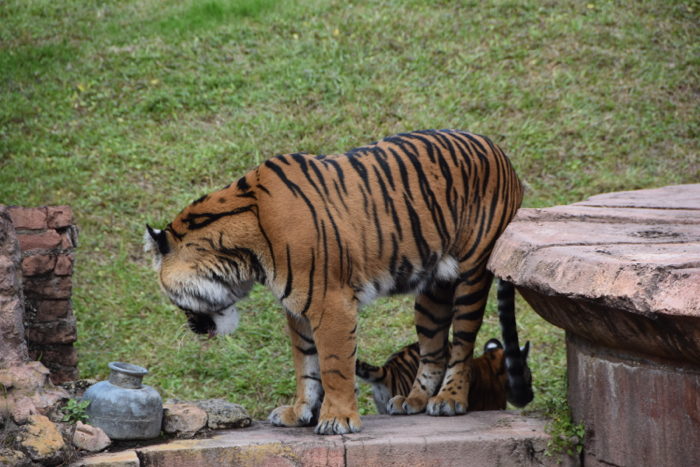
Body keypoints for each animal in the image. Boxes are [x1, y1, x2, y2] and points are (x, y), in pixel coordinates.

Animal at [145, 128, 524, 436]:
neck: (246, 254)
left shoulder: (332, 305)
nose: (193, 328)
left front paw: (337, 419)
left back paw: (448, 400)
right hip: (433, 292)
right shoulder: (297, 309)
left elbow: (333, 366)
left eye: (170, 296)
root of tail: (503, 155)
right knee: (434, 349)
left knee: (462, 345)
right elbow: (306, 365)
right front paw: (299, 413)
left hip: (472, 275)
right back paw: (413, 401)